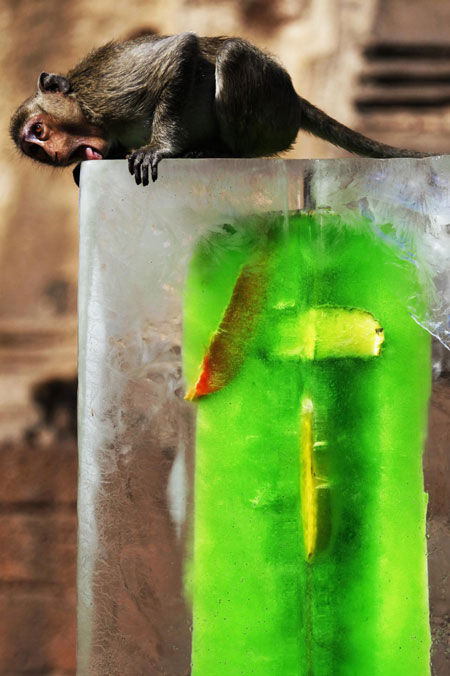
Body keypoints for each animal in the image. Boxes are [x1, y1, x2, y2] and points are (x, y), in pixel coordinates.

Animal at [10, 33, 429, 187]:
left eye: (39, 131)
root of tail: (294, 99)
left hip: (271, 105)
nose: (53, 154)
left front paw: (159, 148)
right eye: (36, 150)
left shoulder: (107, 90)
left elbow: (180, 52)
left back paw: (217, 150)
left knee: (230, 56)